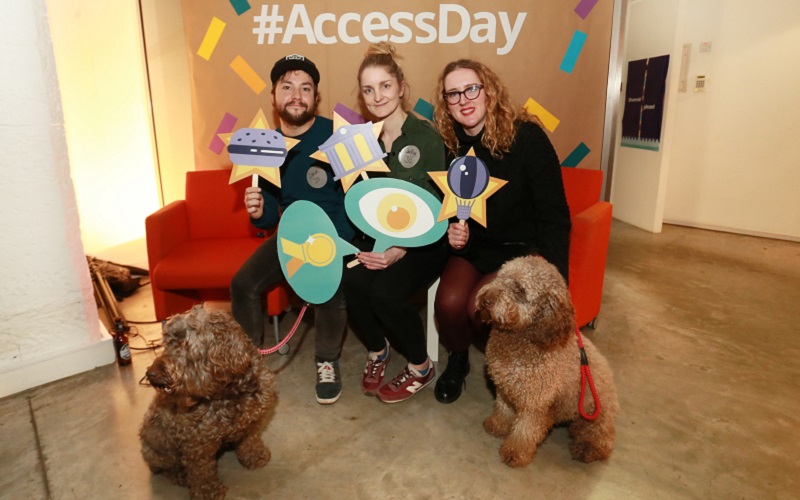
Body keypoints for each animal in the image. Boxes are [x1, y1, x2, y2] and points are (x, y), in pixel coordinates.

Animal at [138, 306, 276, 498]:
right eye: (166, 343)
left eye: (183, 343)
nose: (150, 374)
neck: (229, 394)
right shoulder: (197, 443)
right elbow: (201, 472)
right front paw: (208, 492)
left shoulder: (251, 421)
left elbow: (250, 440)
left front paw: (254, 456)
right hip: (158, 449)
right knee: (164, 467)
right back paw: (180, 475)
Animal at [476, 258, 620, 468]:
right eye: (500, 277)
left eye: (520, 289)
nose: (485, 299)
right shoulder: (506, 388)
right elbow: (503, 410)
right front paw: (497, 425)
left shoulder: (535, 403)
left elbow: (524, 431)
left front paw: (515, 453)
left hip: (597, 414)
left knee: (603, 441)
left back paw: (587, 449)